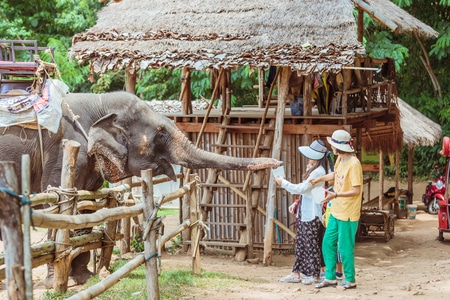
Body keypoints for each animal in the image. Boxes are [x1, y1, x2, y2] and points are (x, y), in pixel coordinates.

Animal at [0, 88, 282, 286]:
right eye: (161, 133)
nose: (278, 163)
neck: (100, 103)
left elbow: (86, 208)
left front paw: (85, 279)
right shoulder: (64, 150)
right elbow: (58, 204)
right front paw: (53, 283)